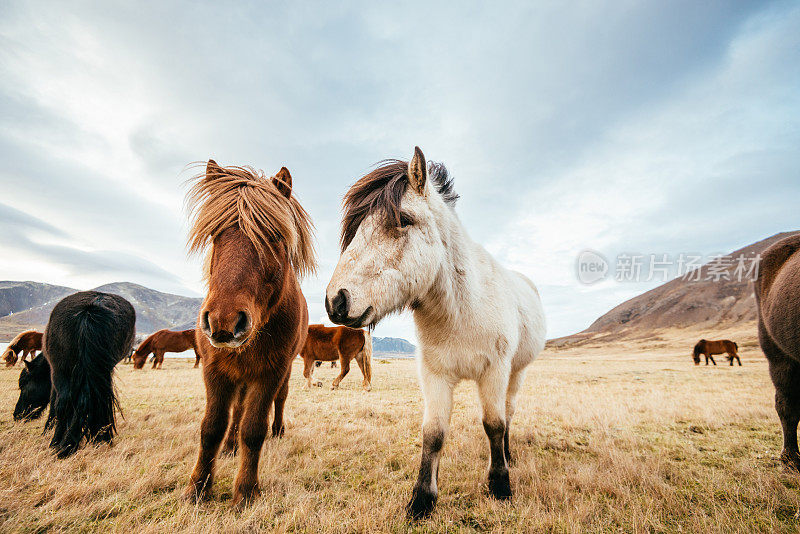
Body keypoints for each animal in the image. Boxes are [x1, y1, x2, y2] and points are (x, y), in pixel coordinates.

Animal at [14, 294, 136, 460]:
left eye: (24, 385)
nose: (17, 415)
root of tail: (90, 309)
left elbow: (54, 405)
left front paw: (47, 430)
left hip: (60, 370)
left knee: (62, 404)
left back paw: (59, 445)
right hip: (103, 370)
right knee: (94, 400)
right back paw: (92, 440)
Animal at [181, 160, 316, 510]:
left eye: (274, 236)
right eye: (214, 234)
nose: (225, 321)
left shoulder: (270, 373)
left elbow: (254, 430)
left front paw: (245, 492)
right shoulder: (214, 370)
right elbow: (211, 428)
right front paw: (197, 488)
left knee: (277, 403)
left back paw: (277, 430)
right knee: (237, 412)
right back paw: (230, 447)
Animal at [324, 146, 544, 520]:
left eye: (403, 220)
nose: (336, 301)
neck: (463, 310)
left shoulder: (495, 372)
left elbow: (494, 425)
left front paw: (500, 486)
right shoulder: (435, 375)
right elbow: (434, 434)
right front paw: (422, 499)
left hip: (517, 372)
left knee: (509, 413)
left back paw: (508, 456)